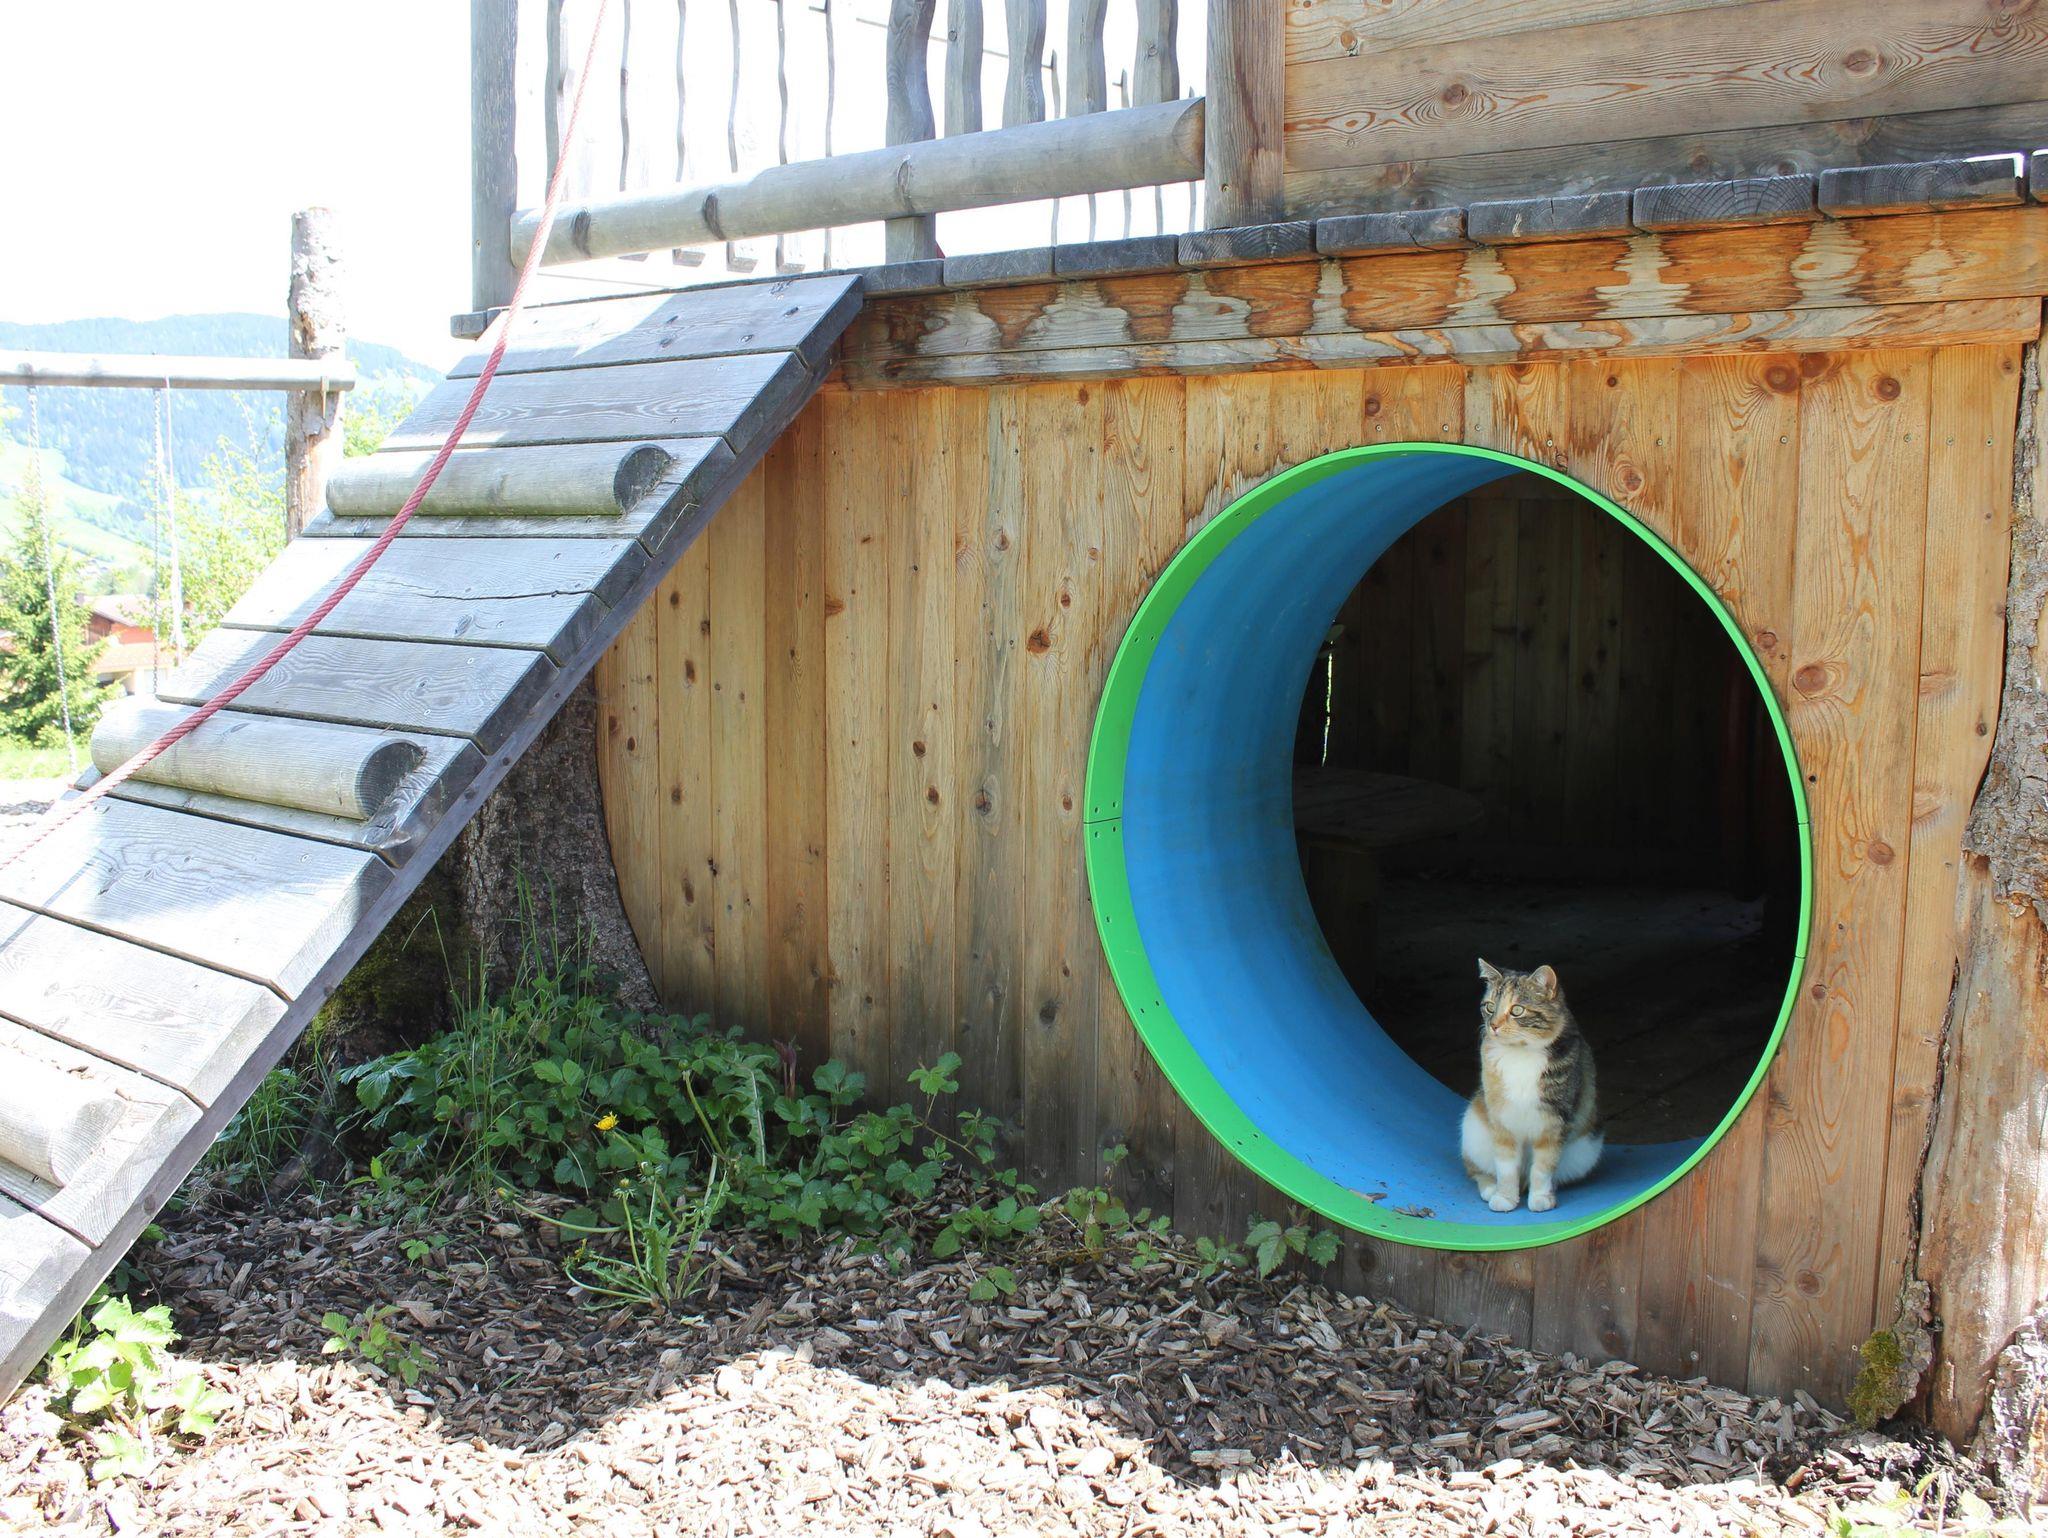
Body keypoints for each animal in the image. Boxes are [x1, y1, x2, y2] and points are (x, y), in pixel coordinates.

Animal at [1460, 959, 1603, 1213]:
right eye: (1489, 1007)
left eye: (1517, 1010)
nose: (1493, 1026)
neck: (1520, 1053)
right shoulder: (1502, 1118)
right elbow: (1506, 1167)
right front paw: (1505, 1198)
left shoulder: (1555, 1120)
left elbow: (1543, 1166)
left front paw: (1540, 1199)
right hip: (1472, 1130)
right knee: (1476, 1170)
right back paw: (1490, 1189)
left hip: (1586, 1150)